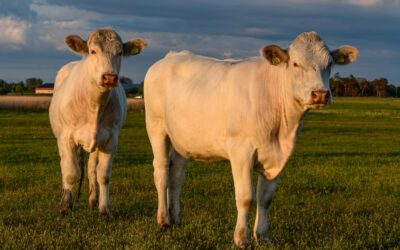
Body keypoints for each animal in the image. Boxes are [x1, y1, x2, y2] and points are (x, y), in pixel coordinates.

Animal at [49, 28, 147, 218]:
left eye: (120, 52)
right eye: (93, 51)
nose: (109, 77)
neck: (95, 104)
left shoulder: (110, 140)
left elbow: (103, 175)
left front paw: (104, 209)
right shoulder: (66, 138)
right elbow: (70, 173)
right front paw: (65, 207)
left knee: (91, 168)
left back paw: (93, 199)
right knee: (65, 165)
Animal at [145, 31, 358, 248]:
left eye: (329, 63)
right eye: (296, 63)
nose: (320, 94)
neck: (281, 131)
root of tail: (171, 56)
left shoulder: (280, 156)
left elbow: (265, 198)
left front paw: (263, 237)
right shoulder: (241, 151)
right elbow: (246, 197)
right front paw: (241, 238)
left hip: (183, 140)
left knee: (176, 176)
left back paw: (176, 218)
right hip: (156, 126)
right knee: (161, 171)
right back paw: (163, 220)